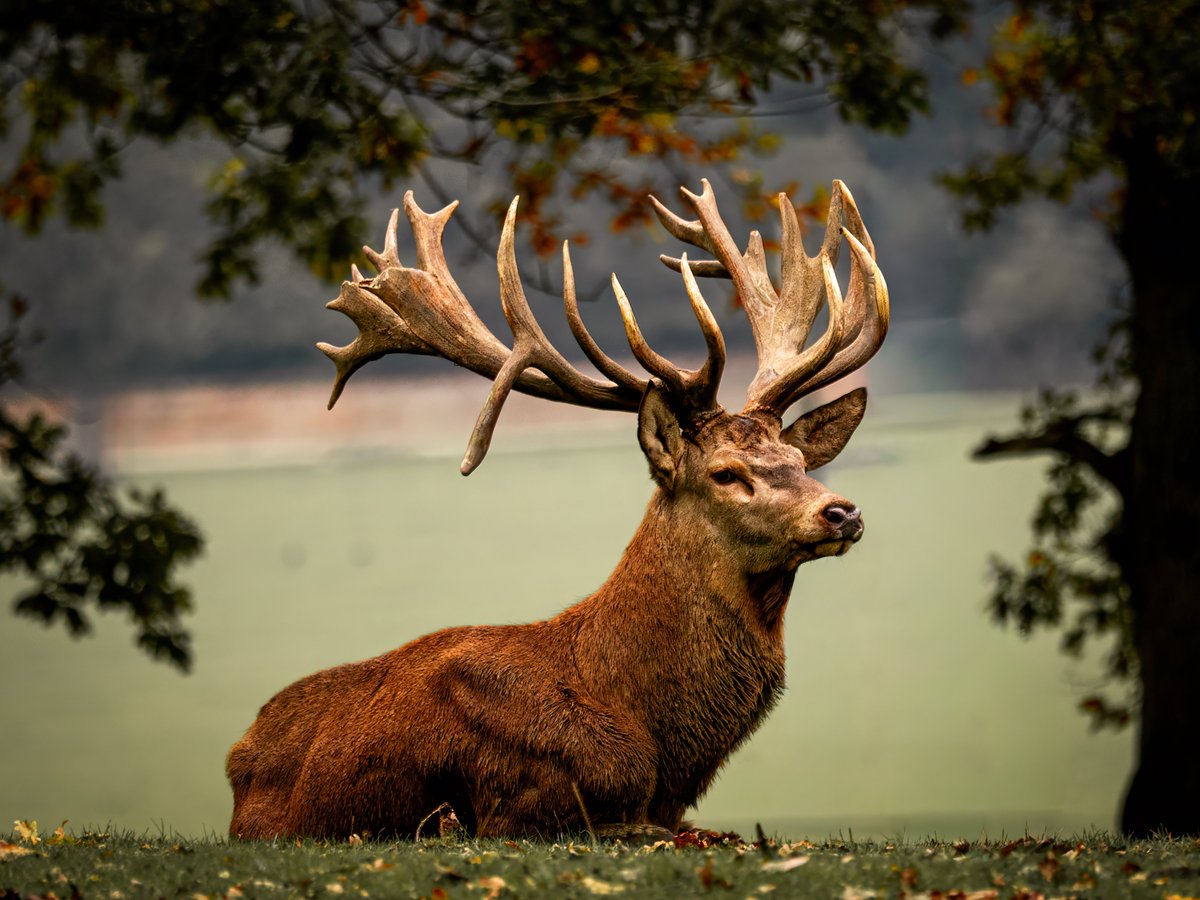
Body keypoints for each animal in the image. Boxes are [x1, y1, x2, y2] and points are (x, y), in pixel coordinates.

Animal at [226, 178, 889, 842]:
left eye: (799, 460)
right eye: (726, 473)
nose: (842, 512)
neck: (653, 740)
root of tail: (238, 754)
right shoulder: (523, 807)